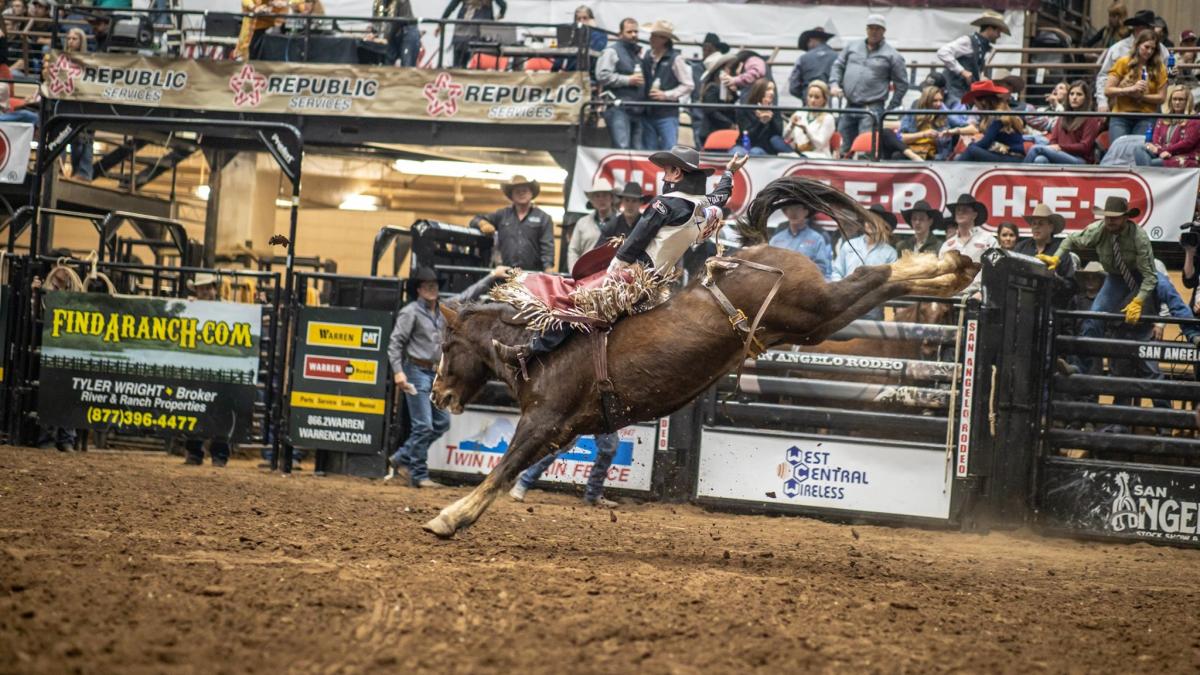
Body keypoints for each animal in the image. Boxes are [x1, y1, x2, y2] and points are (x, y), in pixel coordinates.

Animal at [422, 174, 974, 535]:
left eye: (446, 344)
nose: (438, 395)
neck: (531, 345)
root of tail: (761, 249)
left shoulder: (542, 420)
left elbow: (503, 467)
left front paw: (449, 518)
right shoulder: (564, 430)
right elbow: (516, 470)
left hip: (813, 308)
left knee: (869, 277)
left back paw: (947, 263)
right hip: (815, 322)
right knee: (871, 287)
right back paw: (953, 268)